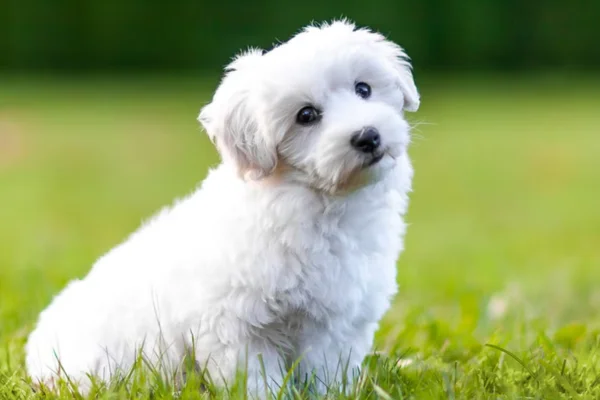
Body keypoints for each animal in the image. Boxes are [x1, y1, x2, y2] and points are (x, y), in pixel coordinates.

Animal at [25, 19, 420, 396]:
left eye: (364, 89)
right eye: (306, 115)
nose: (368, 136)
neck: (317, 199)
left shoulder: (340, 325)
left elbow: (328, 373)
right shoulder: (237, 324)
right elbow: (257, 381)